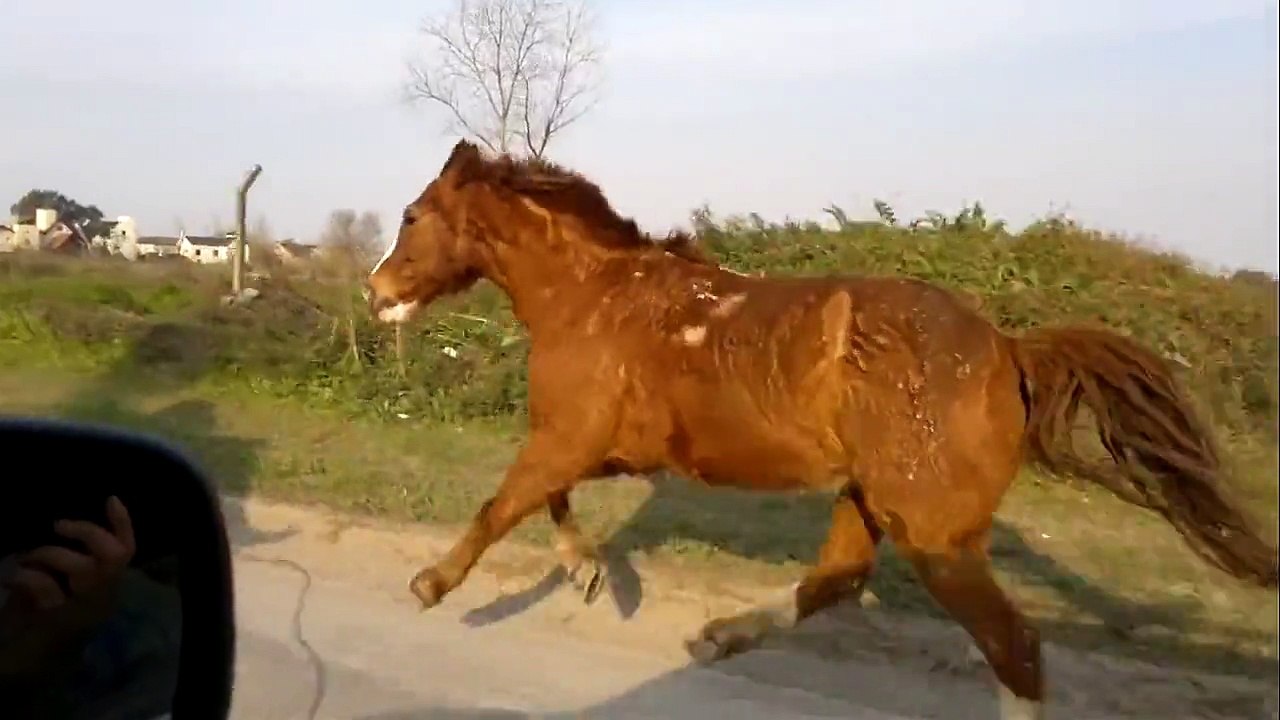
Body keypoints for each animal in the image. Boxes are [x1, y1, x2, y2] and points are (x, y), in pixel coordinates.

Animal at [365, 139, 1278, 719]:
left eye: (411, 215)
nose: (377, 293)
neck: (596, 297)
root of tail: (1009, 351)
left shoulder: (571, 437)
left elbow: (503, 503)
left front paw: (433, 584)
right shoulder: (599, 446)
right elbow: (546, 500)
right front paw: (588, 572)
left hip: (933, 534)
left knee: (1016, 651)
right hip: (869, 499)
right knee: (841, 576)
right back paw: (720, 634)